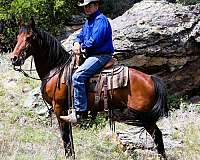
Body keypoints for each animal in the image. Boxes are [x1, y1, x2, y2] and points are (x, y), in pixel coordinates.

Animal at [9, 18, 169, 159]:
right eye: (18, 36)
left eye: (29, 37)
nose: (14, 58)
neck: (56, 69)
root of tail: (151, 79)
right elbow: (69, 138)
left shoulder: (59, 108)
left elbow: (65, 137)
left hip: (145, 117)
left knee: (157, 136)